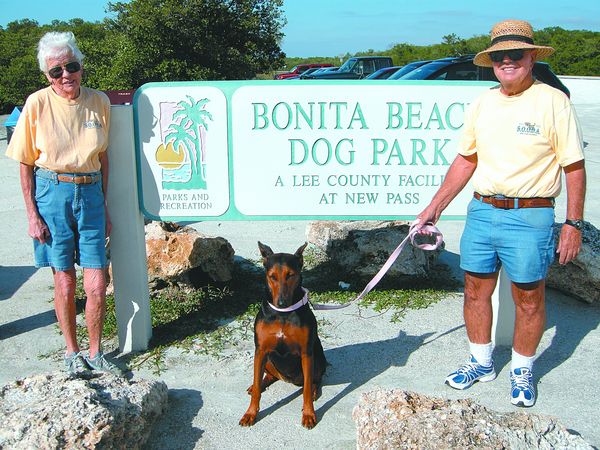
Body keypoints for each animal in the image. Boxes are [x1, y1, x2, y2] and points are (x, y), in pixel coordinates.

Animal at [239, 241, 327, 429]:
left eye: (290, 275)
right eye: (272, 276)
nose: (281, 303)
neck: (282, 314)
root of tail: (287, 379)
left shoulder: (306, 353)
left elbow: (306, 389)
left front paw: (309, 414)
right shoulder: (260, 350)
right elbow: (257, 389)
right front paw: (250, 413)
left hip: (317, 359)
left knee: (315, 380)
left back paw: (314, 391)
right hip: (265, 359)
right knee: (267, 376)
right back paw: (257, 385)